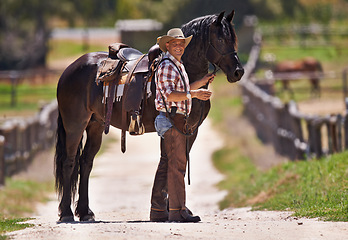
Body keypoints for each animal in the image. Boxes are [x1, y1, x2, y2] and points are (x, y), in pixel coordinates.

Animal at [55, 10, 245, 221]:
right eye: (220, 39)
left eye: (233, 38)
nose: (238, 72)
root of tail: (70, 69)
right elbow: (171, 162)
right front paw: (171, 211)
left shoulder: (191, 130)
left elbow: (178, 162)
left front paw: (179, 210)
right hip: (75, 125)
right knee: (69, 162)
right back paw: (66, 213)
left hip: (95, 125)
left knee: (86, 162)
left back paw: (85, 212)